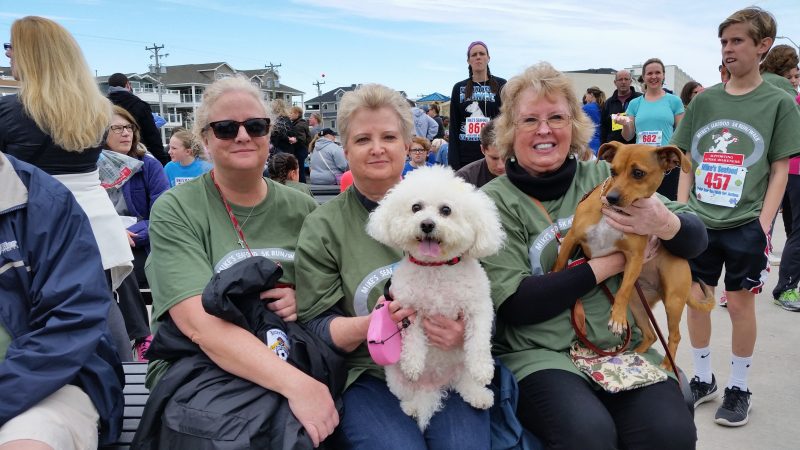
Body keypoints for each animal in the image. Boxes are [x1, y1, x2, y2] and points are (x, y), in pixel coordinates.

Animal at [366, 164, 504, 428]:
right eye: (415, 207)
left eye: (446, 210)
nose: (427, 224)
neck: (436, 268)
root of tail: (435, 384)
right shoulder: (408, 311)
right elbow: (413, 340)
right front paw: (413, 363)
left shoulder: (479, 308)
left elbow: (480, 341)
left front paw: (483, 370)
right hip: (395, 377)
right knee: (411, 393)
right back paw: (413, 406)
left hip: (461, 364)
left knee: (464, 381)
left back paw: (479, 395)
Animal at [552, 142, 716, 370]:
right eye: (613, 171)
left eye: (638, 173)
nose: (611, 198)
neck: (616, 214)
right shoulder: (572, 239)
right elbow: (559, 265)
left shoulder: (634, 258)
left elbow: (623, 290)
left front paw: (618, 319)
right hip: (638, 305)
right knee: (651, 334)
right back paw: (637, 353)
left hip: (672, 302)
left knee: (674, 336)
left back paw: (666, 364)